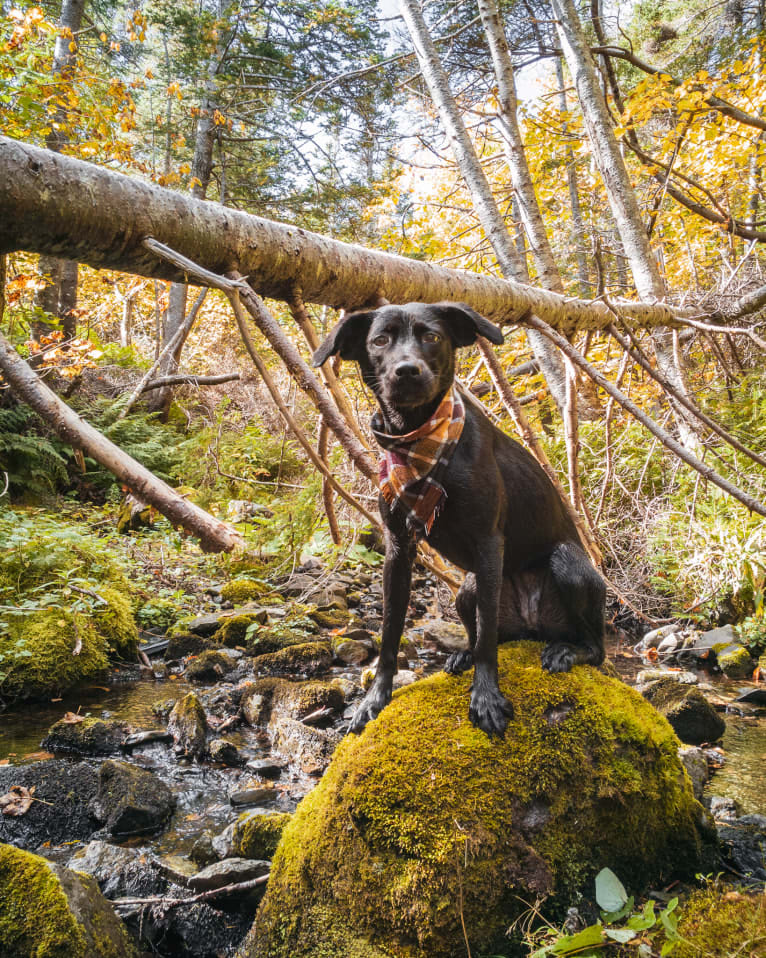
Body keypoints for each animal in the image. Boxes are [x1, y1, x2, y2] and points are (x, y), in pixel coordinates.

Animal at [312, 304, 608, 740]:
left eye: (432, 337)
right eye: (380, 340)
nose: (407, 371)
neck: (418, 441)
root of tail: (533, 627)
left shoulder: (488, 543)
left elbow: (487, 638)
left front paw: (486, 699)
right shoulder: (398, 549)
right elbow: (390, 634)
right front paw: (374, 701)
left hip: (566, 563)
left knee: (595, 648)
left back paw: (566, 651)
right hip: (465, 590)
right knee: (490, 632)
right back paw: (462, 656)